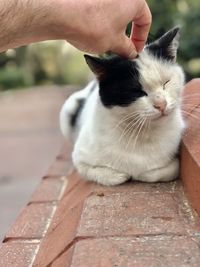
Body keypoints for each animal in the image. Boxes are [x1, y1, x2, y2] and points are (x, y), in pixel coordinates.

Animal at [60, 27, 185, 186]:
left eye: (166, 82)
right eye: (136, 91)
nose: (161, 104)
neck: (142, 133)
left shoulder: (174, 162)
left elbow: (162, 171)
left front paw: (142, 173)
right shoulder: (80, 159)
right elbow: (103, 173)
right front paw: (120, 175)